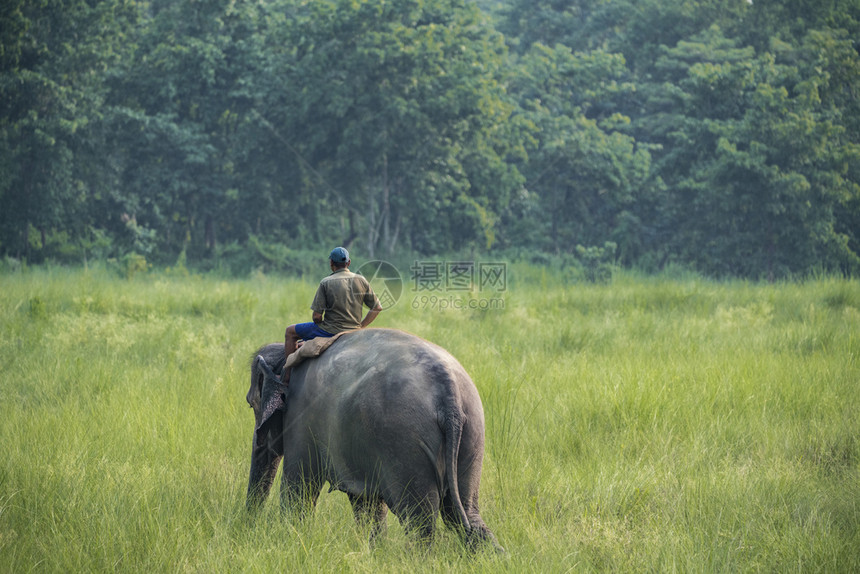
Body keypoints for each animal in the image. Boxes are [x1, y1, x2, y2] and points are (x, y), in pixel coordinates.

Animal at [245, 328, 504, 552]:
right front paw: (374, 551)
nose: (248, 524)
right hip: (472, 433)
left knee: (419, 520)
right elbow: (366, 504)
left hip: (404, 443)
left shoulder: (300, 420)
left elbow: (298, 492)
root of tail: (448, 389)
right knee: (464, 513)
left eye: (250, 403)